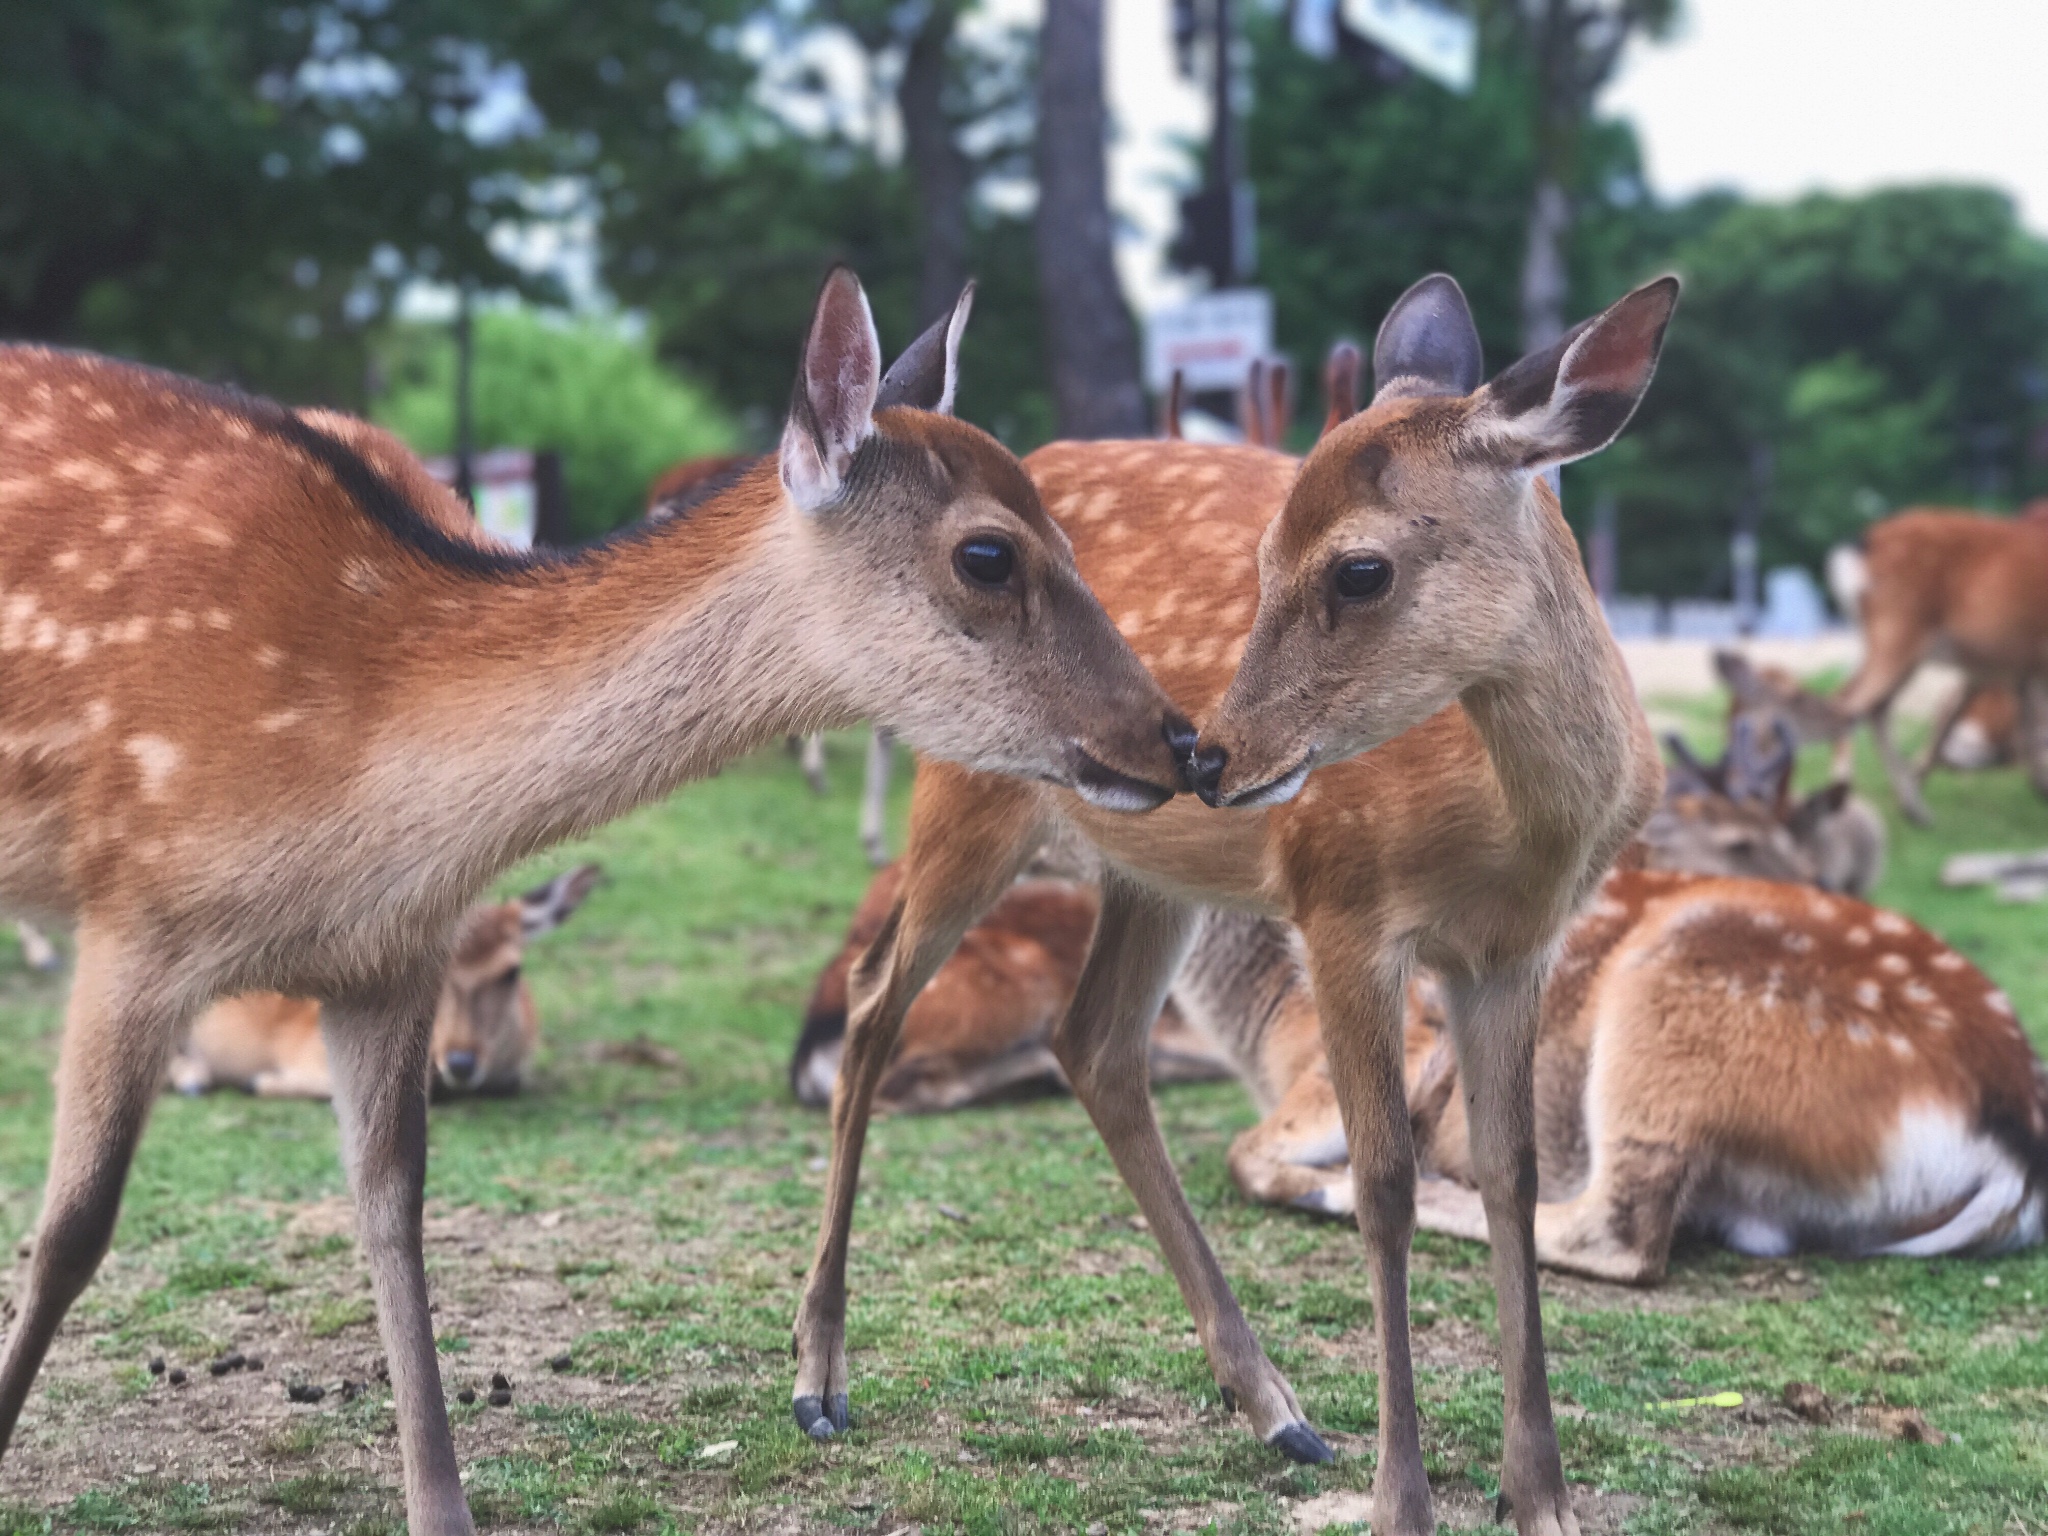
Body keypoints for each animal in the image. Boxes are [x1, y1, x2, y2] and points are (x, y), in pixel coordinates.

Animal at [794, 276, 1679, 1536]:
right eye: (1261, 557)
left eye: (1358, 569)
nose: (1207, 754)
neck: (1516, 829)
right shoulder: (1341, 903)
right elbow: (1383, 1186)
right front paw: (1400, 1501)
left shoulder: (1514, 949)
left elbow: (1508, 1178)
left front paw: (1540, 1496)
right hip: (971, 789)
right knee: (876, 997)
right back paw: (817, 1379)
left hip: (1149, 871)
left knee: (1092, 1040)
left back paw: (1273, 1406)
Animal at [1826, 507, 2048, 823]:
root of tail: (1863, 543)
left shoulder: (2012, 666)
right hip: (1899, 628)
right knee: (1850, 702)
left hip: (1884, 640)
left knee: (1870, 704)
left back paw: (1913, 808)